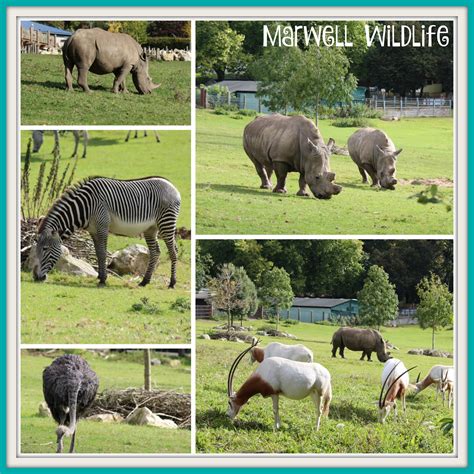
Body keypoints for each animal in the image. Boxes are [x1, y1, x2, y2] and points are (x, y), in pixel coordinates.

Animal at [32, 177, 181, 286]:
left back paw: (172, 283)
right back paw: (145, 281)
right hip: (151, 228)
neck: (86, 207)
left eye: (45, 248)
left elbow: (103, 253)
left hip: (166, 222)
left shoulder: (102, 227)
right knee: (155, 252)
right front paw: (99, 276)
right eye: (36, 248)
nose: (36, 277)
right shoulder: (93, 230)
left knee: (173, 252)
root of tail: (173, 187)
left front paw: (103, 279)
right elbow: (98, 253)